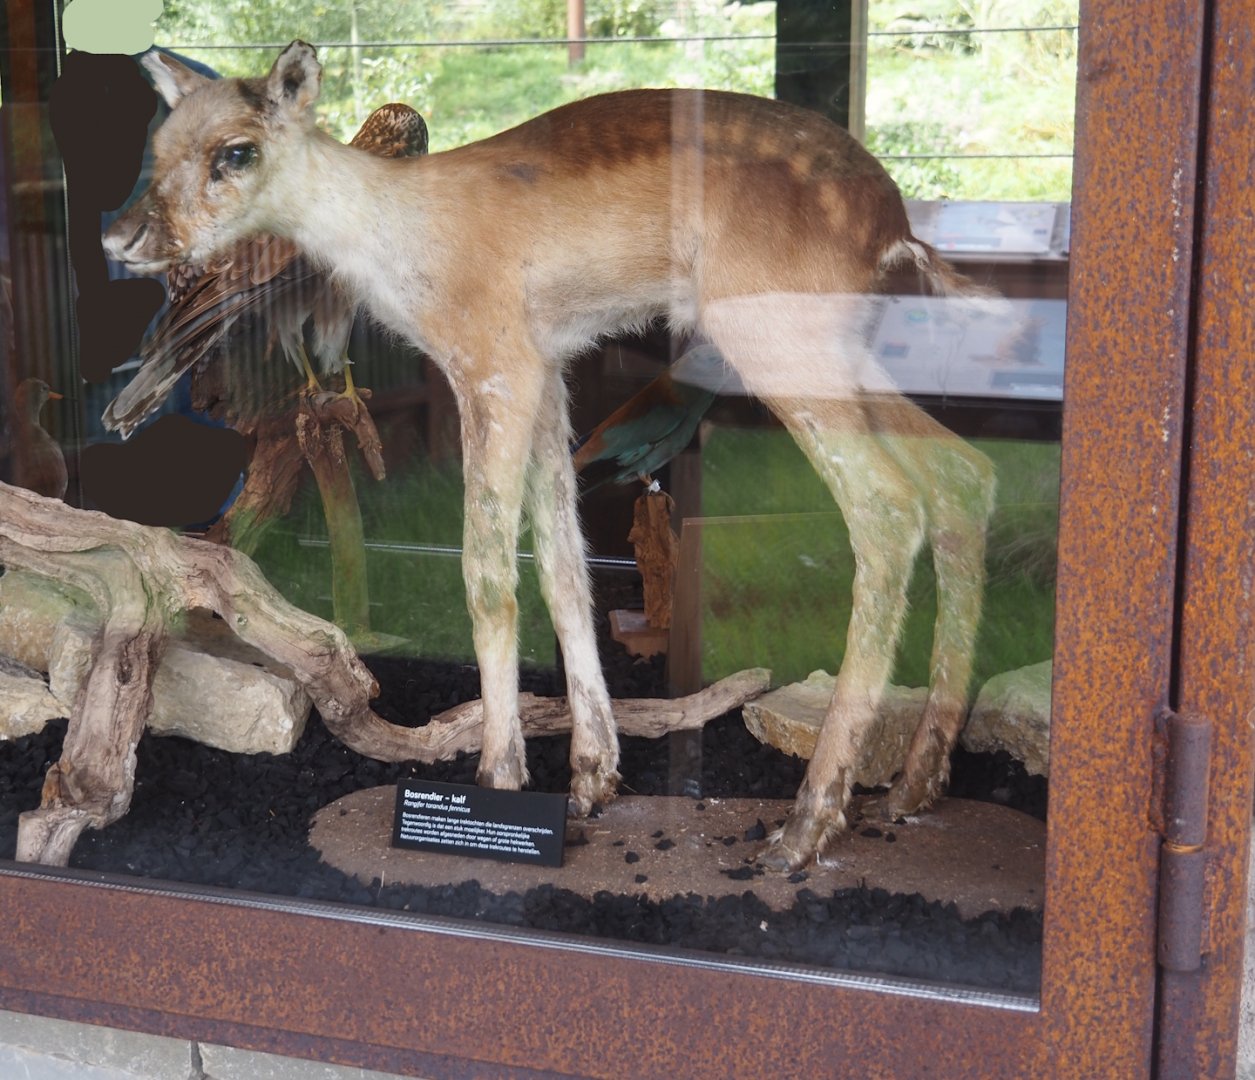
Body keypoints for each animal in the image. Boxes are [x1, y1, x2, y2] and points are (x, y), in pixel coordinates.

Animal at [102, 41, 998, 871]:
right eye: (160, 144)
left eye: (237, 150)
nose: (121, 234)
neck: (404, 233)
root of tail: (894, 227)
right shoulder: (551, 372)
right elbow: (566, 564)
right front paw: (592, 777)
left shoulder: (493, 363)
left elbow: (487, 571)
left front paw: (498, 781)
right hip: (845, 357)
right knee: (963, 473)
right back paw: (914, 787)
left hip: (780, 342)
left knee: (887, 508)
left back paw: (804, 829)